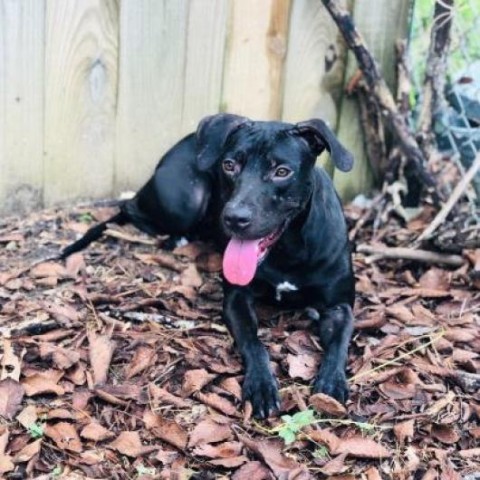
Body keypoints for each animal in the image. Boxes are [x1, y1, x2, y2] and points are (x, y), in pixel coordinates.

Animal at [60, 114, 354, 418]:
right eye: (229, 165)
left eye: (282, 171)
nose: (235, 217)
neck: (287, 250)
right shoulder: (237, 299)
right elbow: (253, 343)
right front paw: (261, 384)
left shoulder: (339, 307)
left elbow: (340, 345)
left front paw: (331, 383)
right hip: (188, 199)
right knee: (130, 209)